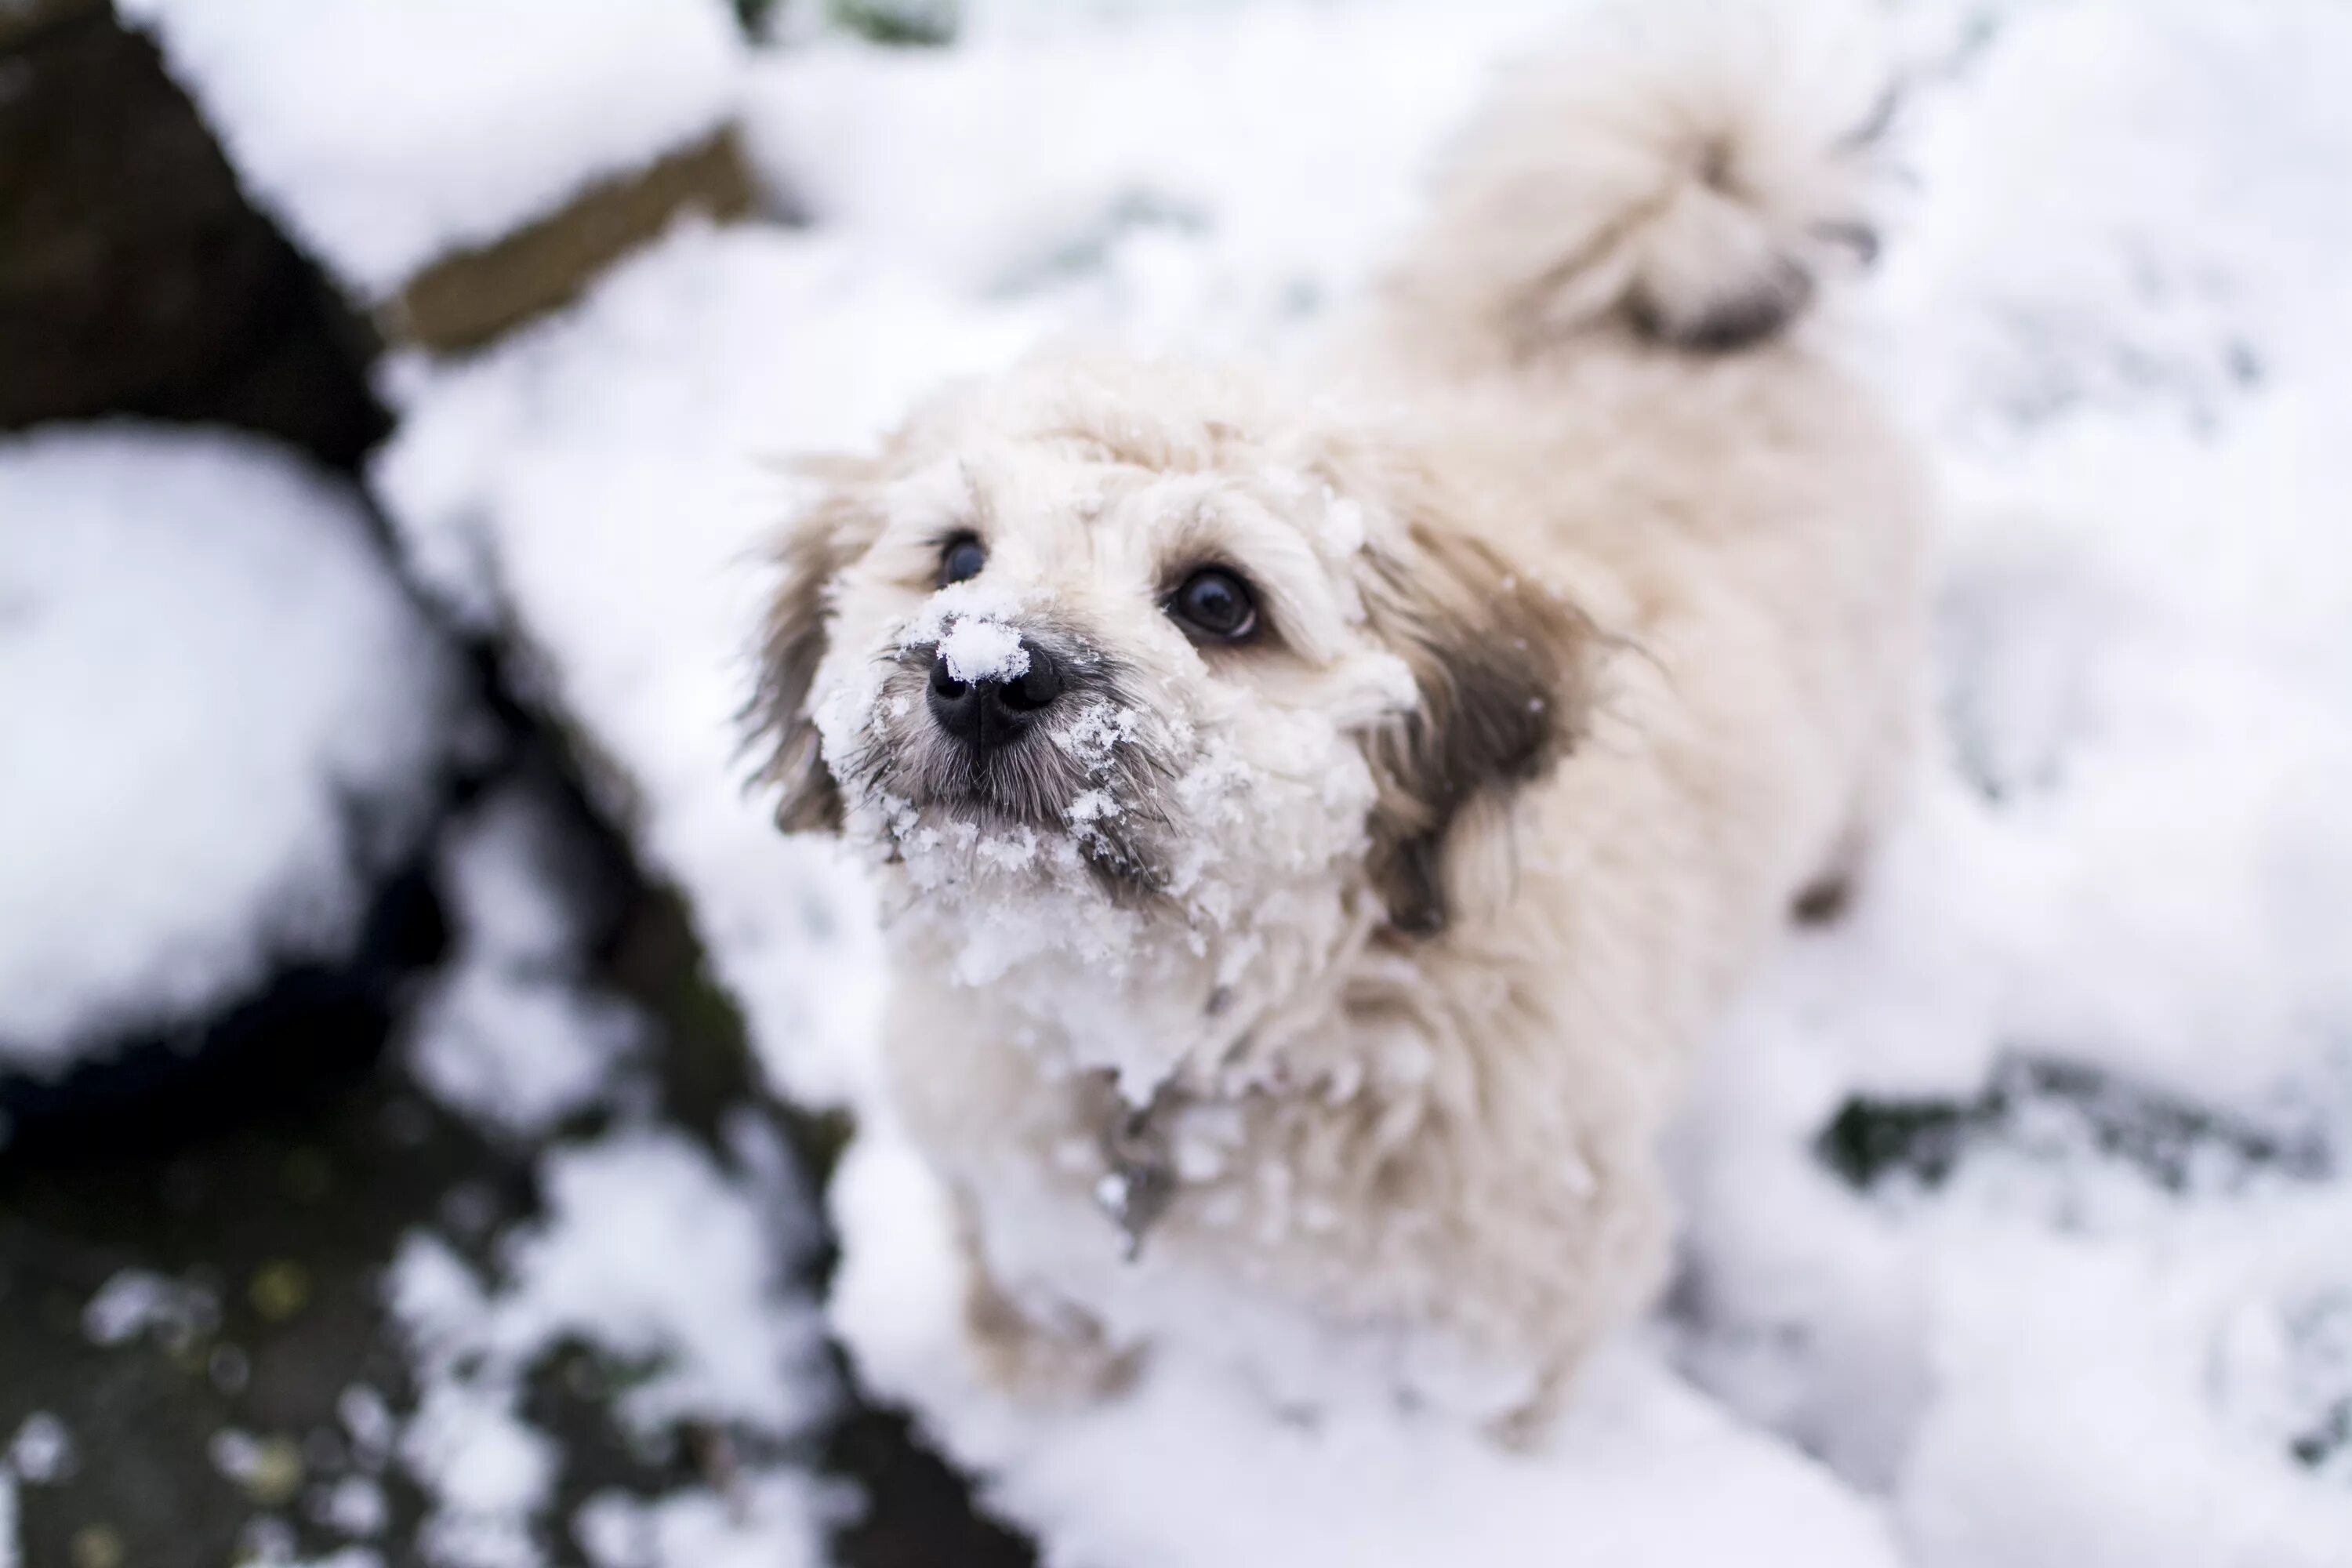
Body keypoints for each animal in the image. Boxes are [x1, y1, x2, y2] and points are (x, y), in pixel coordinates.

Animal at [753, 5, 1929, 1439]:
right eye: (958, 557)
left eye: (1219, 600)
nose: (982, 677)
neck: (1188, 1047)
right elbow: (1029, 1287)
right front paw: (1038, 1386)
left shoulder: (1529, 1311)